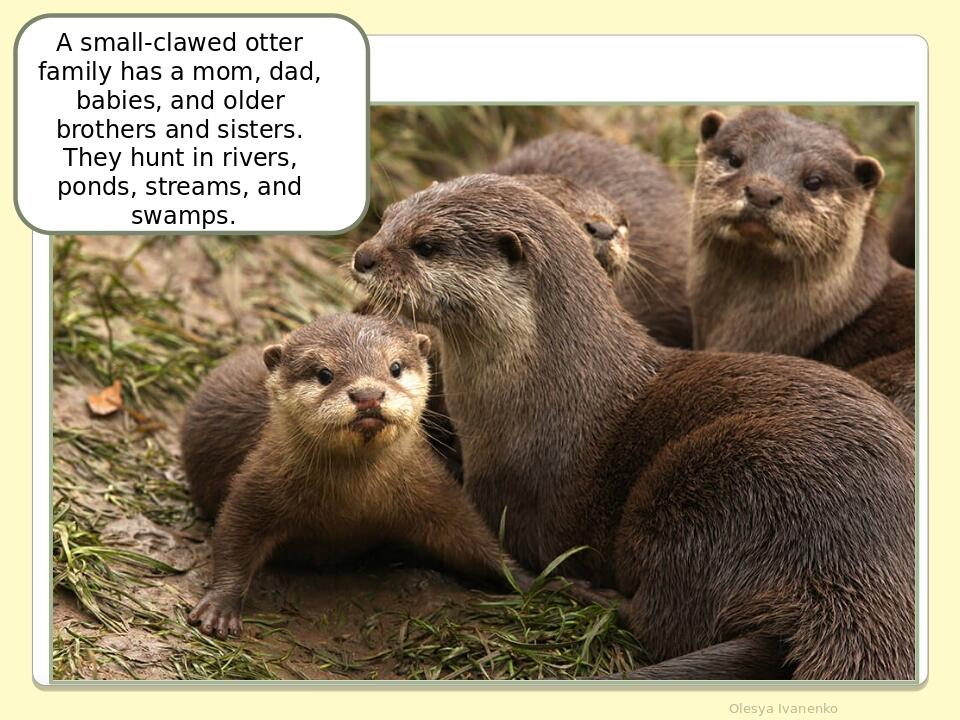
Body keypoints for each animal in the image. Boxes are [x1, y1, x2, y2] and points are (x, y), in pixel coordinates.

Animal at [181, 314, 520, 638]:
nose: (368, 394)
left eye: (395, 367)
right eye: (324, 374)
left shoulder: (433, 488)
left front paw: (524, 579)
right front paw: (220, 607)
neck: (353, 503)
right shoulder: (259, 480)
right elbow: (233, 536)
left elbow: (472, 536)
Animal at [351, 174, 915, 680]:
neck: (547, 386)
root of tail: (859, 567)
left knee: (667, 619)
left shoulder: (511, 492)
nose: (363, 256)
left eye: (425, 245)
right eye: (387, 217)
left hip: (716, 490)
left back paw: (592, 596)